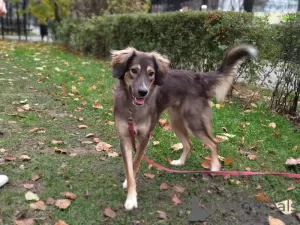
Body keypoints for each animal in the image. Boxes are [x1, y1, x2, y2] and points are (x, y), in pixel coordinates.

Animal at [111, 44, 256, 210]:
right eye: (133, 70)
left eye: (151, 73)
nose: (143, 92)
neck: (132, 108)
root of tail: (198, 79)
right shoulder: (124, 138)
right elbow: (129, 168)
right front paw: (129, 189)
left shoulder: (144, 137)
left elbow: (135, 164)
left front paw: (131, 197)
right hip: (176, 122)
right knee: (189, 144)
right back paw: (180, 162)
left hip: (194, 122)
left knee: (214, 142)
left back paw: (214, 167)